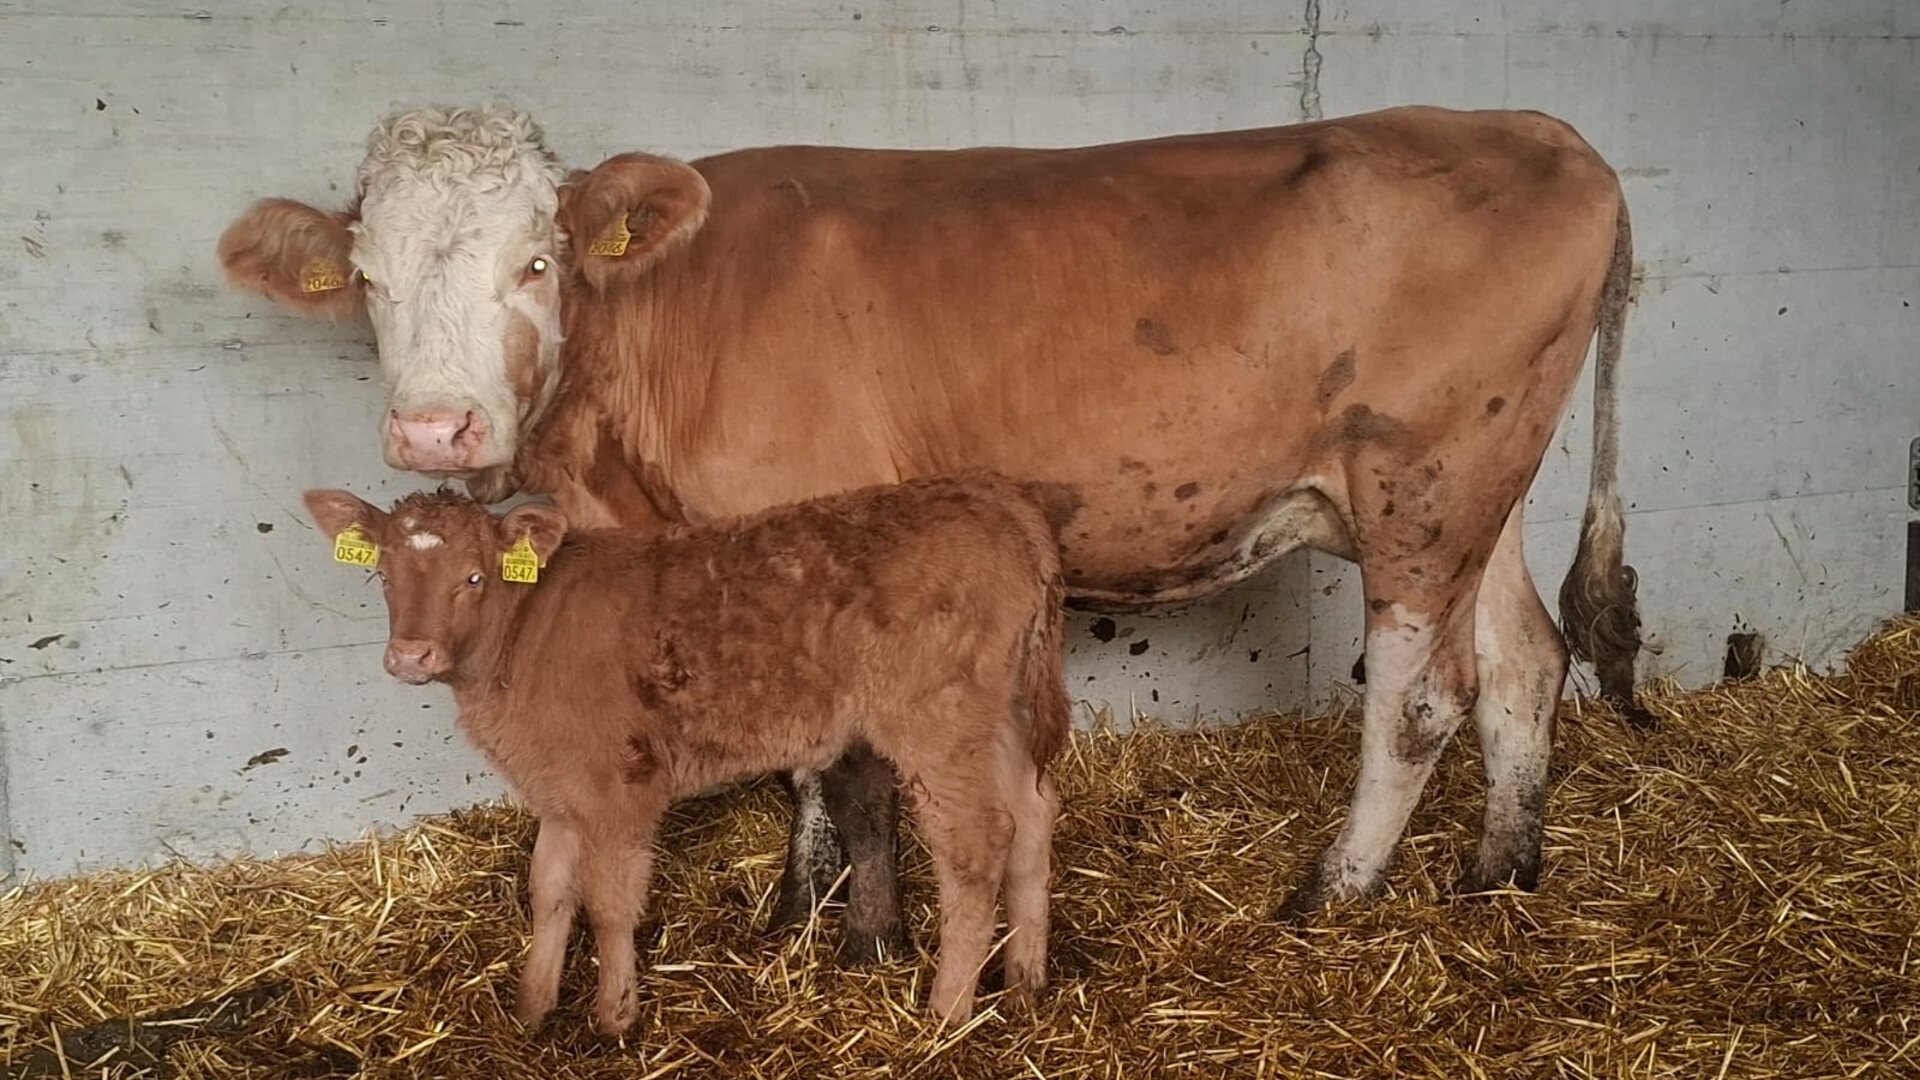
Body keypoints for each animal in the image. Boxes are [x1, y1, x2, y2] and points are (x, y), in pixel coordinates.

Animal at [222, 101, 1646, 953]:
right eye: (368, 278)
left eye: (536, 261)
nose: (436, 431)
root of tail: (1532, 125)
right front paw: (804, 911)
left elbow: (826, 745)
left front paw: (848, 925)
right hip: (1482, 492)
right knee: (1524, 661)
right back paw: (1502, 871)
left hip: (1422, 486)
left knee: (1419, 695)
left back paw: (1330, 892)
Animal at [300, 475, 1070, 1034]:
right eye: (385, 574)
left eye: (474, 577)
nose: (411, 655)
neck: (522, 641)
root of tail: (996, 496)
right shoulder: (560, 787)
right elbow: (549, 890)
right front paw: (532, 1008)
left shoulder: (619, 786)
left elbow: (610, 904)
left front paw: (614, 1019)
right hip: (1001, 714)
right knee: (1034, 816)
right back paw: (1026, 983)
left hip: (937, 721)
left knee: (975, 843)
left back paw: (946, 1014)